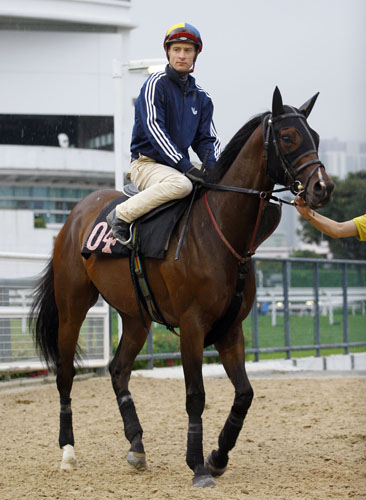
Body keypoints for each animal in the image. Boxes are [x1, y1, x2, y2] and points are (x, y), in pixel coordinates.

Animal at [30, 88, 334, 486]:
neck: (218, 229)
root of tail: (76, 214)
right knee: (65, 374)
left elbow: (245, 394)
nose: (323, 187)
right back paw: (68, 451)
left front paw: (218, 456)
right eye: (287, 137)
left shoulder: (230, 329)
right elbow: (195, 395)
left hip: (136, 318)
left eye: (315, 137)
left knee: (118, 370)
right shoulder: (193, 326)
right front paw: (198, 466)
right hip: (72, 307)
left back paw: (137, 446)